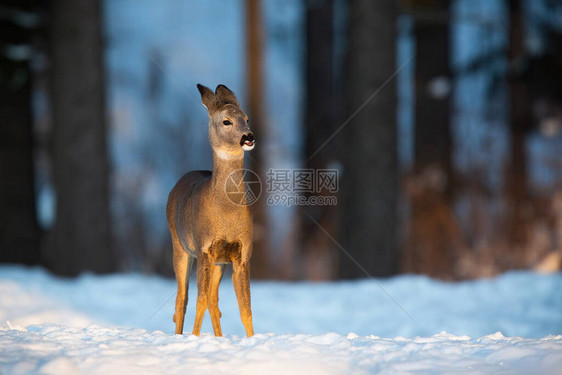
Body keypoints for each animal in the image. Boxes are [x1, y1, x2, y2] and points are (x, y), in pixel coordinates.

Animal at [165, 83, 255, 336]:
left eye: (247, 118)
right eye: (226, 121)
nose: (249, 137)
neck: (226, 213)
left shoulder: (242, 253)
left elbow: (245, 308)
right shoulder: (204, 247)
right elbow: (200, 301)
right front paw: (194, 339)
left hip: (219, 263)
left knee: (215, 302)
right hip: (179, 245)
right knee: (182, 298)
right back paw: (180, 335)